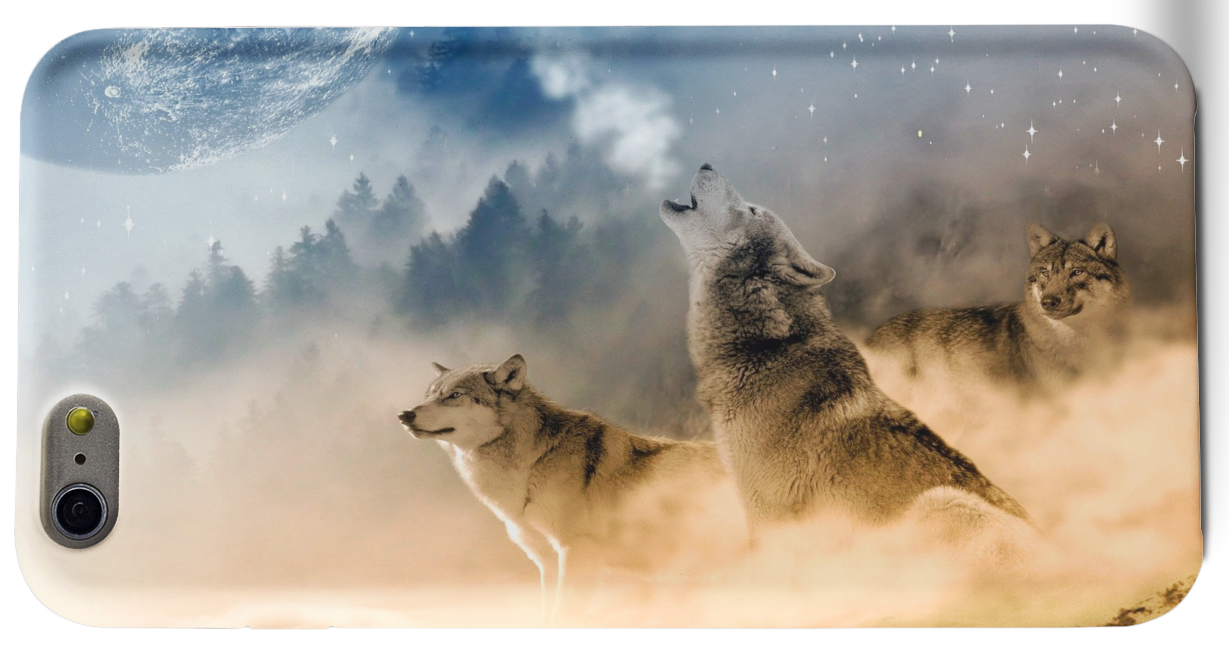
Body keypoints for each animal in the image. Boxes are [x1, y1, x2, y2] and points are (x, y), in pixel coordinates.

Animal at [399, 354, 747, 625]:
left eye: (454, 395)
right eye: (430, 395)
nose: (405, 414)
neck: (532, 464)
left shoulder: (576, 553)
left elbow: (562, 617)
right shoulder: (547, 562)